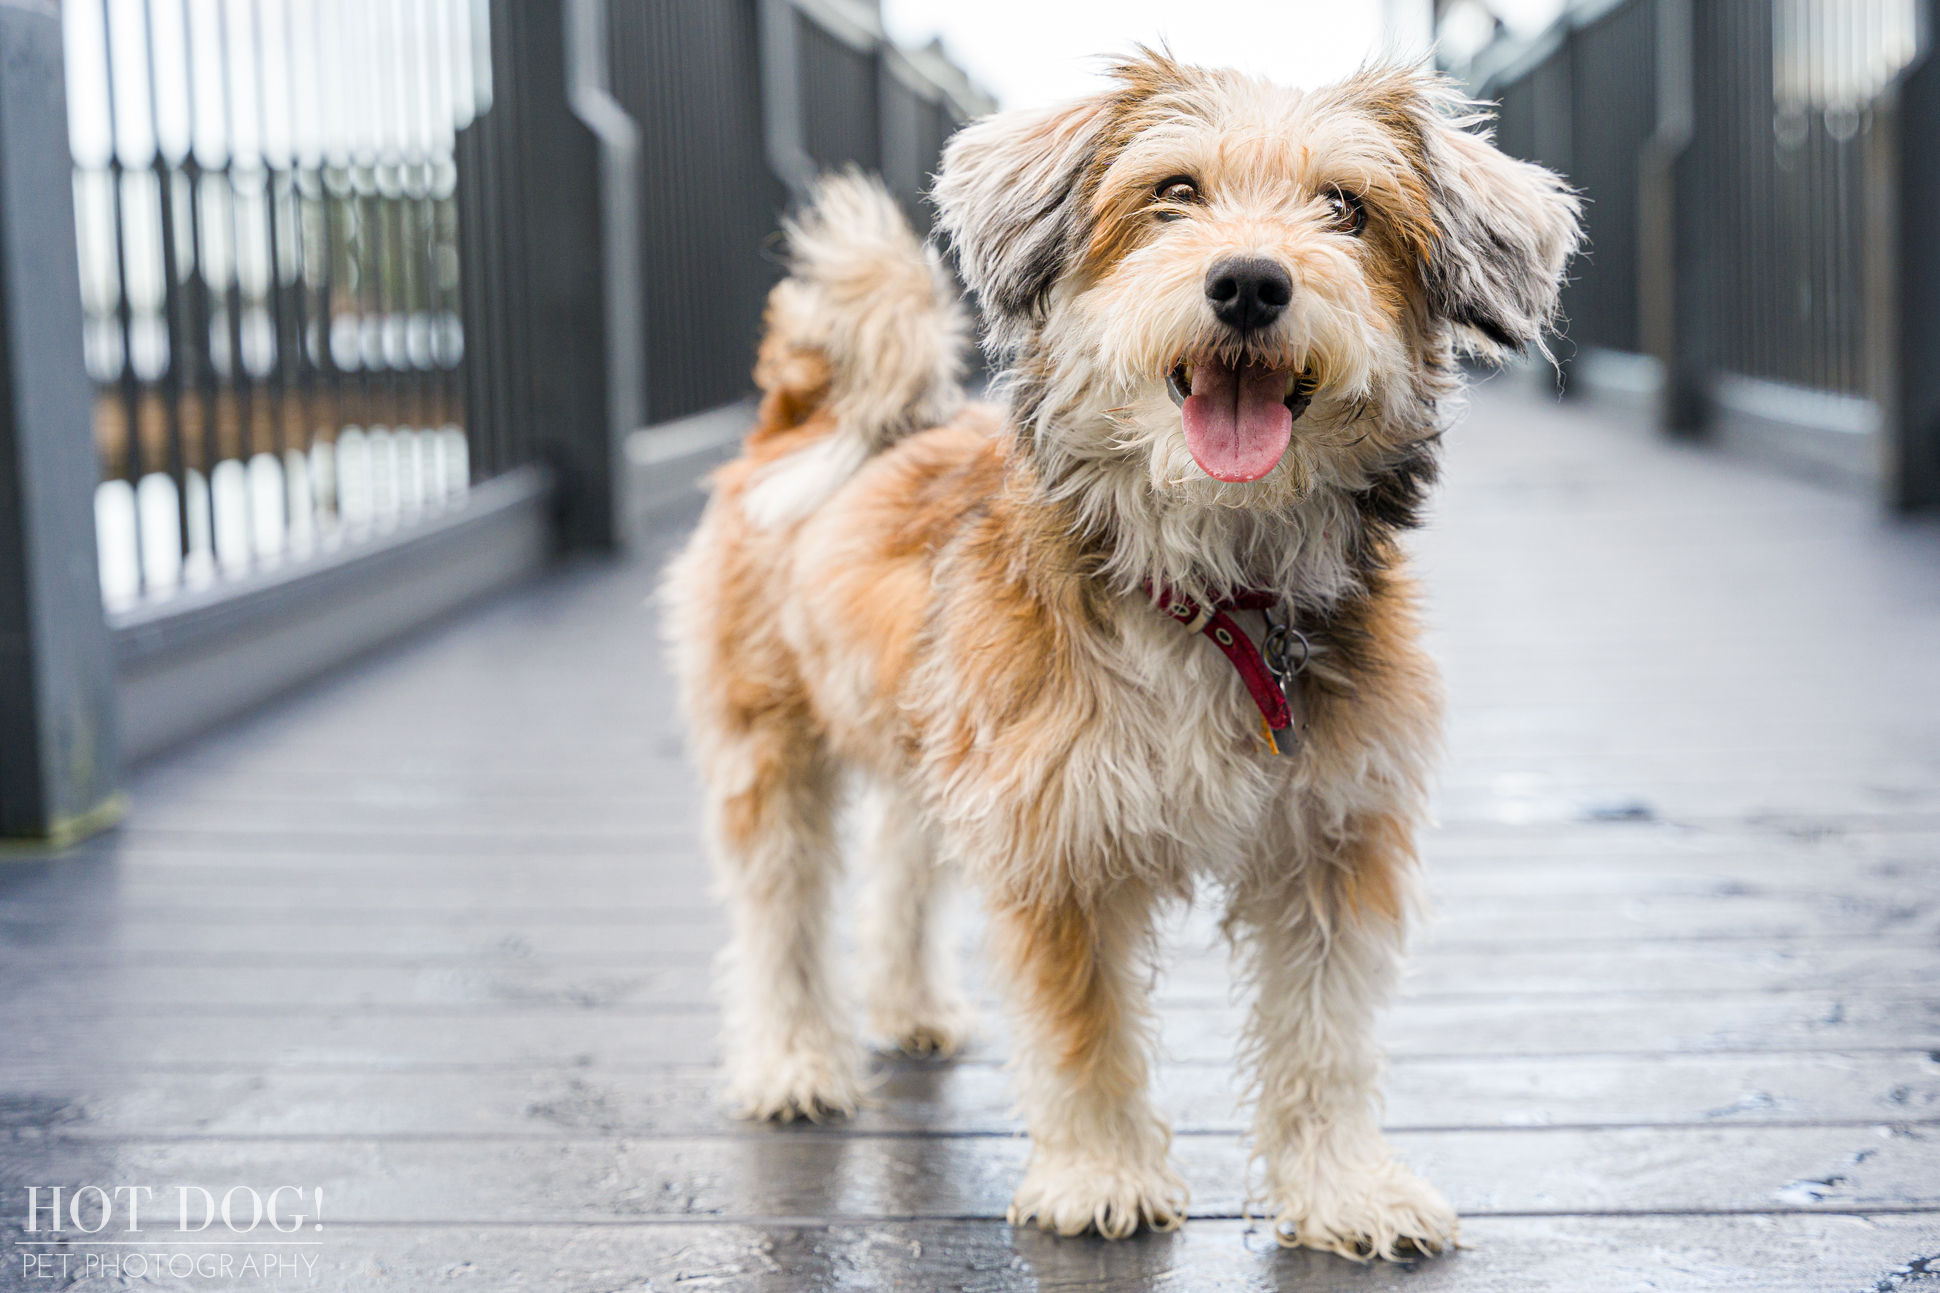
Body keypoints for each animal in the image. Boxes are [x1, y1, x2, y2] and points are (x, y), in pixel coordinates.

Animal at [663, 55, 1575, 1250]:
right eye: (1172, 192)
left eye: (1346, 207)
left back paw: (912, 1010)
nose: (1248, 283)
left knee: (902, 867)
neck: (1213, 592)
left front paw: (1344, 1188)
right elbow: (1083, 1030)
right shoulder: (1057, 844)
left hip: (924, 739)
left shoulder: (1333, 839)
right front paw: (1100, 1178)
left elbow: (1324, 1037)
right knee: (781, 915)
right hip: (771, 748)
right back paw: (792, 1063)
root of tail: (803, 418)